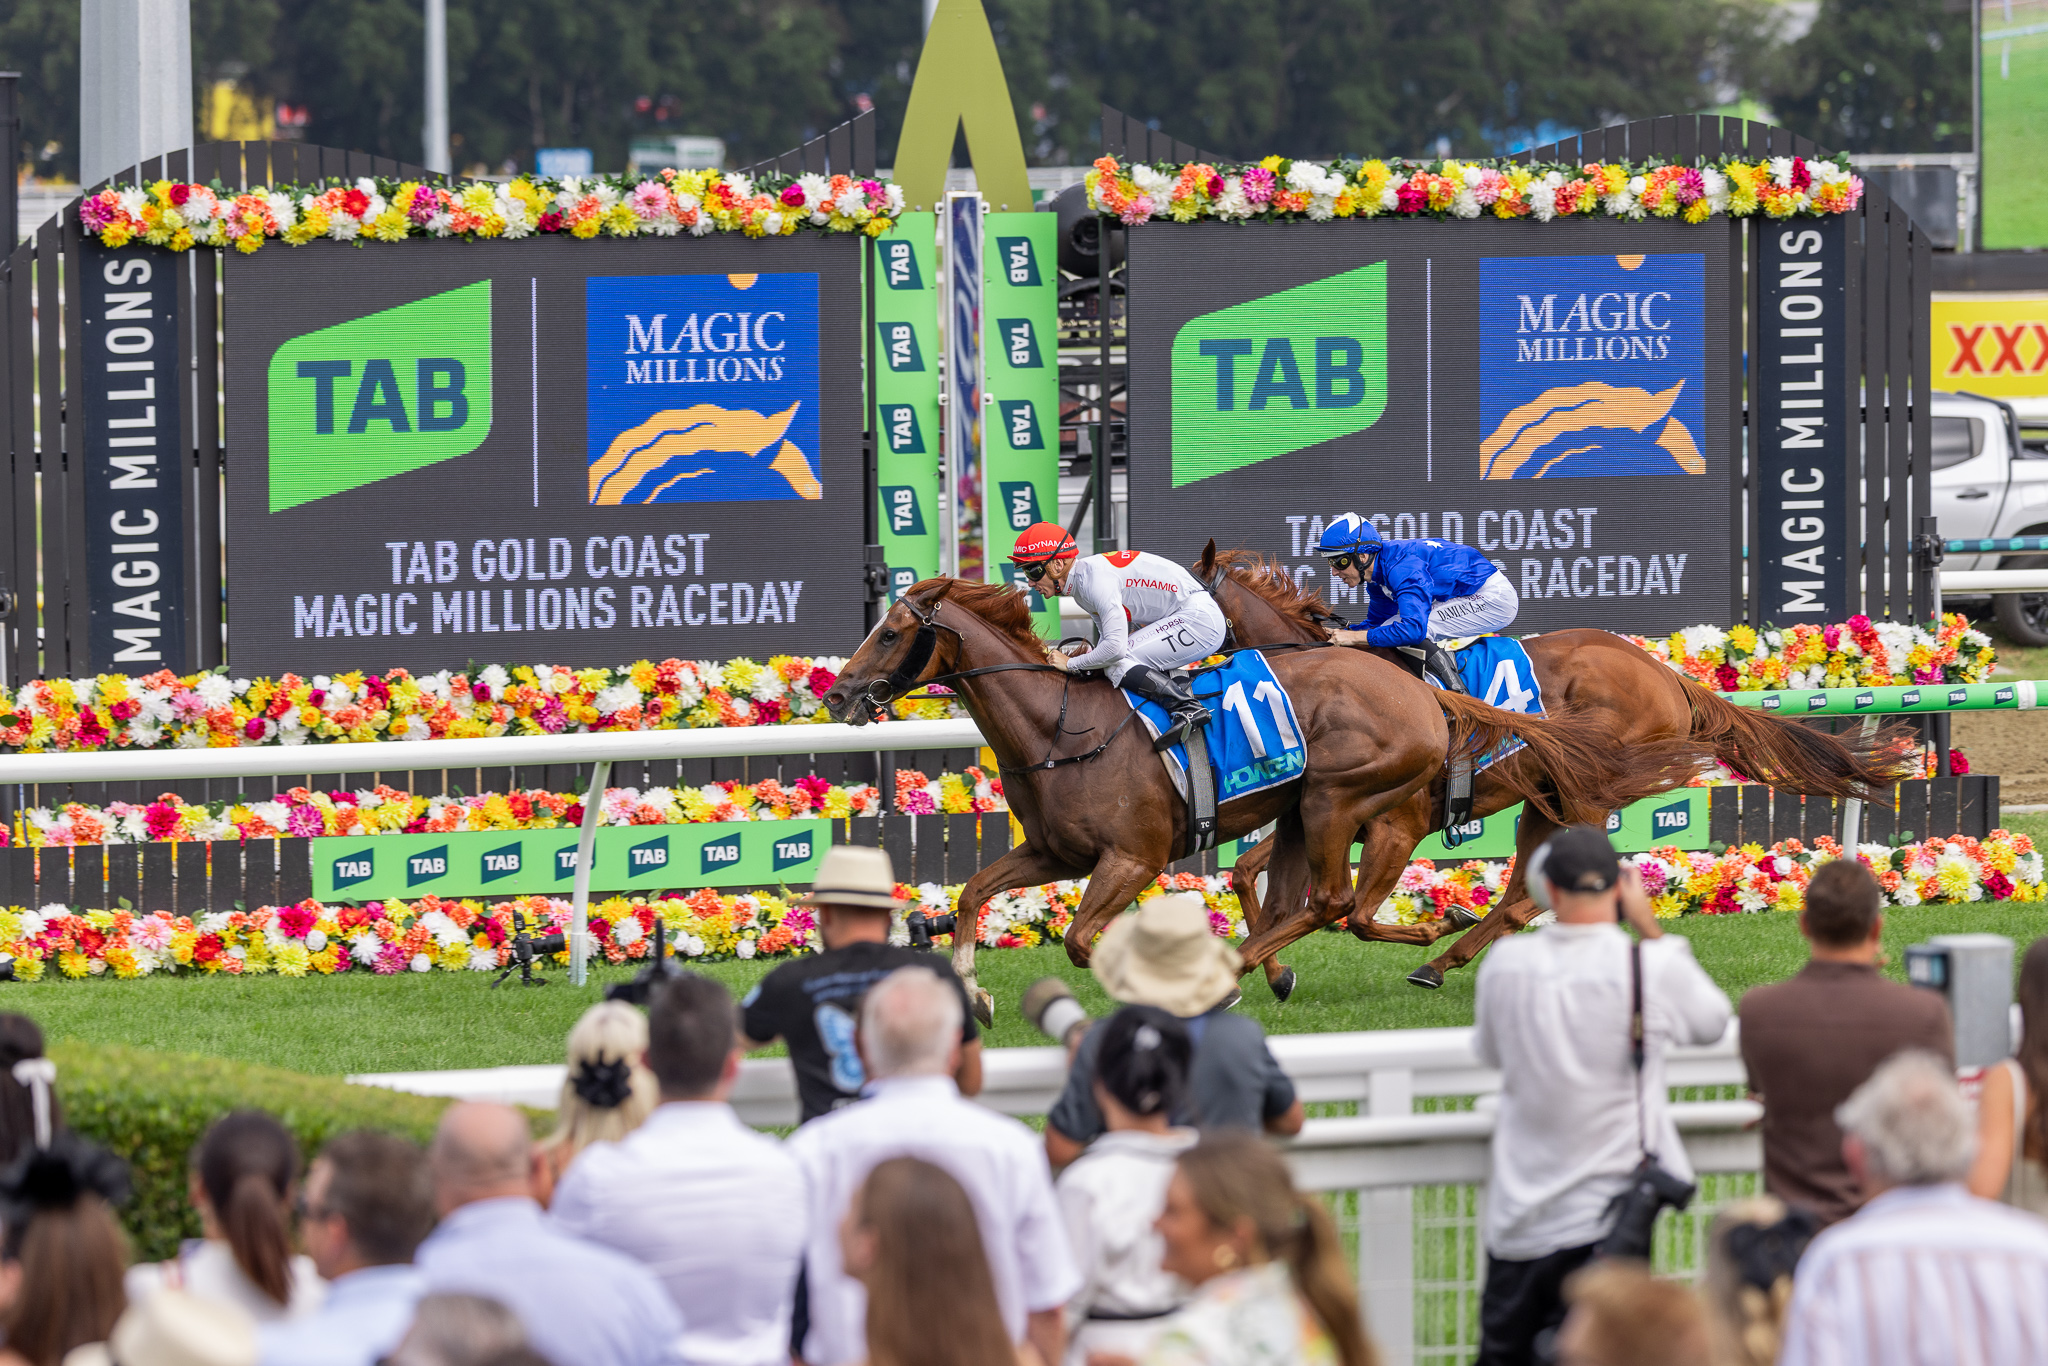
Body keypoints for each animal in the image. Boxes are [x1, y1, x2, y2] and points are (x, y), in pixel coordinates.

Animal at [821, 576, 1709, 1020]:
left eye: (892, 633)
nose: (838, 694)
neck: (1062, 728)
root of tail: (1660, 670)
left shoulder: (1134, 856)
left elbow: (1081, 940)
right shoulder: (1051, 851)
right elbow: (975, 892)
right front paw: (971, 992)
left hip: (1346, 798)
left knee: (1346, 901)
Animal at [1196, 543, 1914, 996]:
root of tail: (1665, 674)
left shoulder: (1392, 824)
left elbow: (1351, 913)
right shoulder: (1324, 806)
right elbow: (1250, 871)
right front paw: (1271, 972)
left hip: (1587, 796)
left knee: (1535, 895)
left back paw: (1449, 952)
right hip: (1548, 799)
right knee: (1523, 890)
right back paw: (1448, 958)